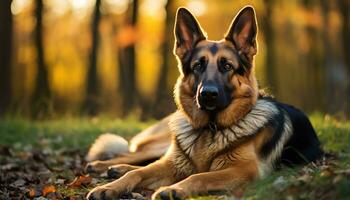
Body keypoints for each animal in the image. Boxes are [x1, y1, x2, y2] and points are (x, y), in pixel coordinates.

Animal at [86, 6, 324, 200]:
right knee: (137, 157)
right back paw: (107, 166)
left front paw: (174, 189)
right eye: (198, 66)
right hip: (165, 148)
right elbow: (138, 172)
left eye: (227, 66)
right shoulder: (173, 164)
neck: (209, 128)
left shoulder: (245, 170)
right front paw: (109, 188)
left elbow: (199, 176)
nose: (208, 94)